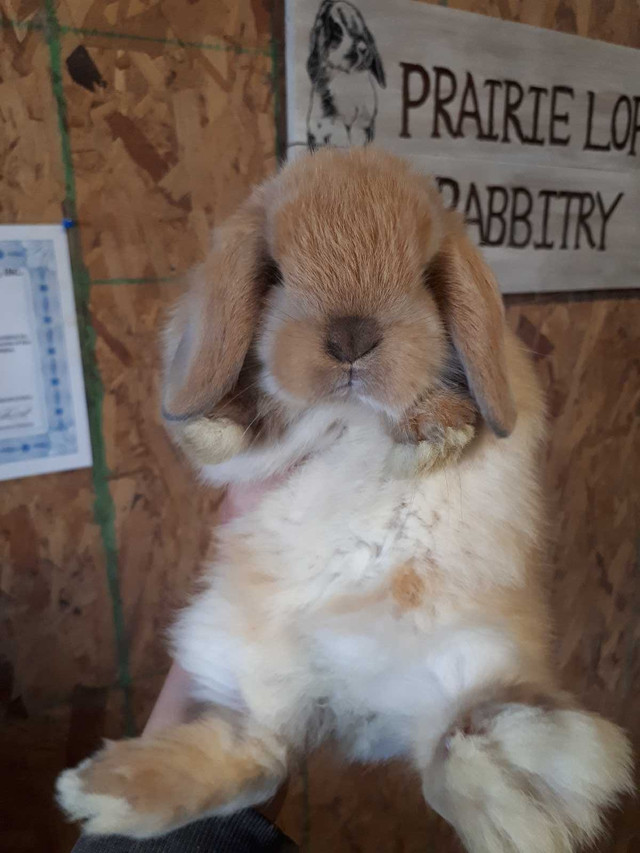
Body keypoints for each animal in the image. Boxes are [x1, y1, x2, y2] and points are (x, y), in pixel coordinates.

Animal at [57, 150, 632, 848]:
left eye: (425, 277)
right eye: (275, 274)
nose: (352, 339)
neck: (350, 414)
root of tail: (352, 706)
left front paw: (432, 432)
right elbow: (244, 437)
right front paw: (211, 424)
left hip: (475, 658)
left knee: (456, 741)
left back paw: (516, 798)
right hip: (242, 654)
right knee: (260, 750)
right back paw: (102, 790)